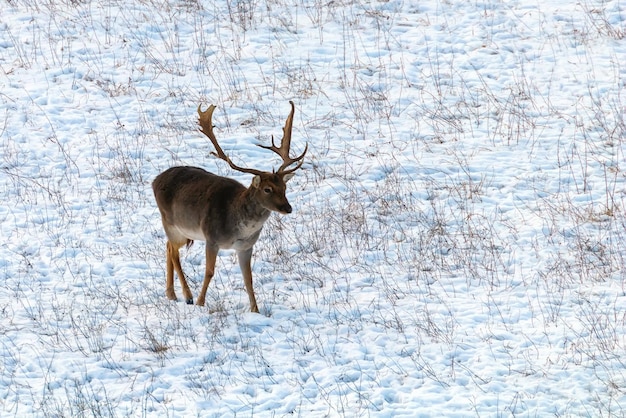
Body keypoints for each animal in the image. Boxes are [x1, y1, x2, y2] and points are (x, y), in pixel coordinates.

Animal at [152, 101, 308, 312]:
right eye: (267, 189)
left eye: (284, 187)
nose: (287, 208)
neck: (239, 228)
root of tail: (155, 180)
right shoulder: (211, 238)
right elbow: (209, 271)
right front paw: (201, 303)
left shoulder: (246, 246)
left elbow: (248, 278)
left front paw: (255, 310)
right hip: (170, 222)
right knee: (174, 252)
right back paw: (188, 296)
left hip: (182, 232)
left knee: (168, 246)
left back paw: (171, 294)